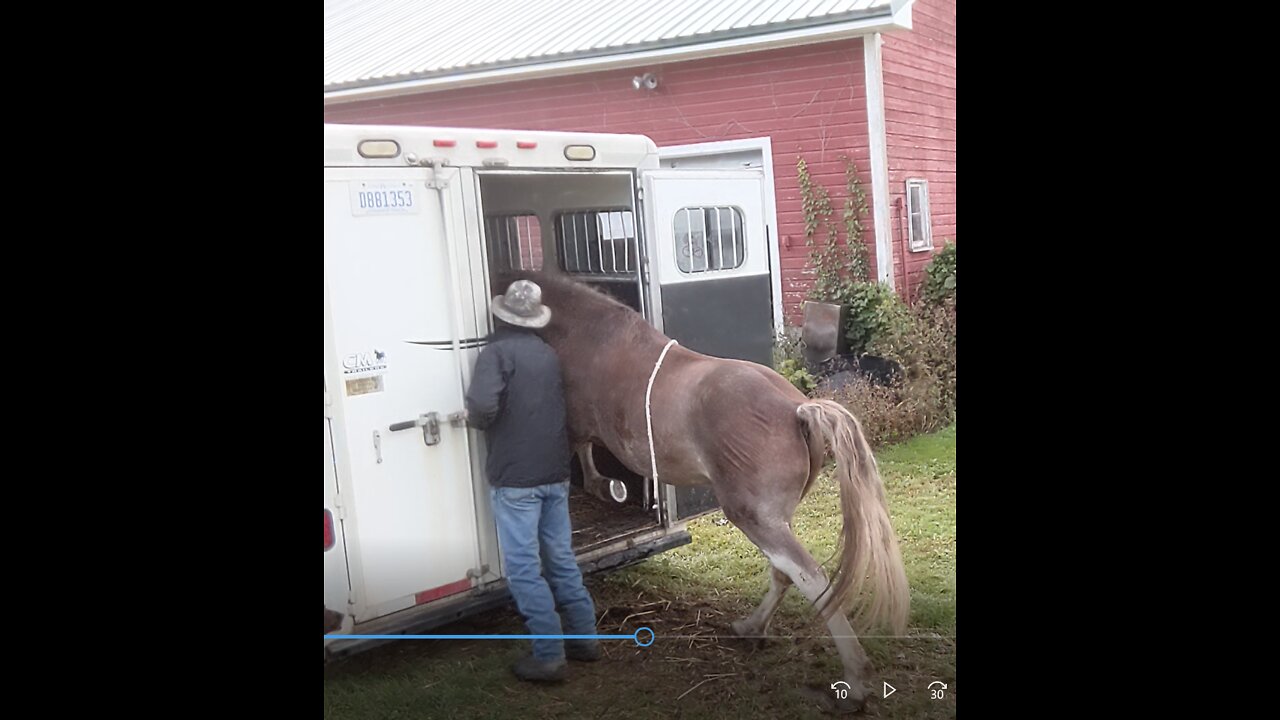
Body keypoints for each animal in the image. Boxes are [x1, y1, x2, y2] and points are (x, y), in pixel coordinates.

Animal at [500, 272, 909, 710]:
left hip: (753, 517)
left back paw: (854, 680)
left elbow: (579, 455)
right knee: (785, 573)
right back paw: (751, 628)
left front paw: (598, 486)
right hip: (775, 519)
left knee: (811, 578)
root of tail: (795, 409)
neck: (592, 337)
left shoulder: (574, 426)